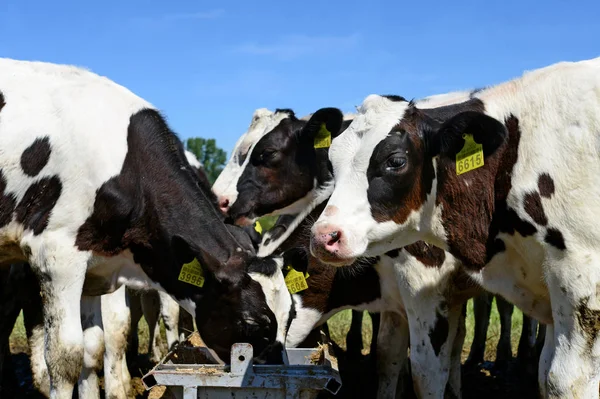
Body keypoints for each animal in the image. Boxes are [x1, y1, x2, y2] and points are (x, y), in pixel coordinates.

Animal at [0, 57, 284, 398]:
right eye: (255, 325)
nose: (269, 374)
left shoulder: (95, 268)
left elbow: (93, 348)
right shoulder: (56, 256)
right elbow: (66, 357)